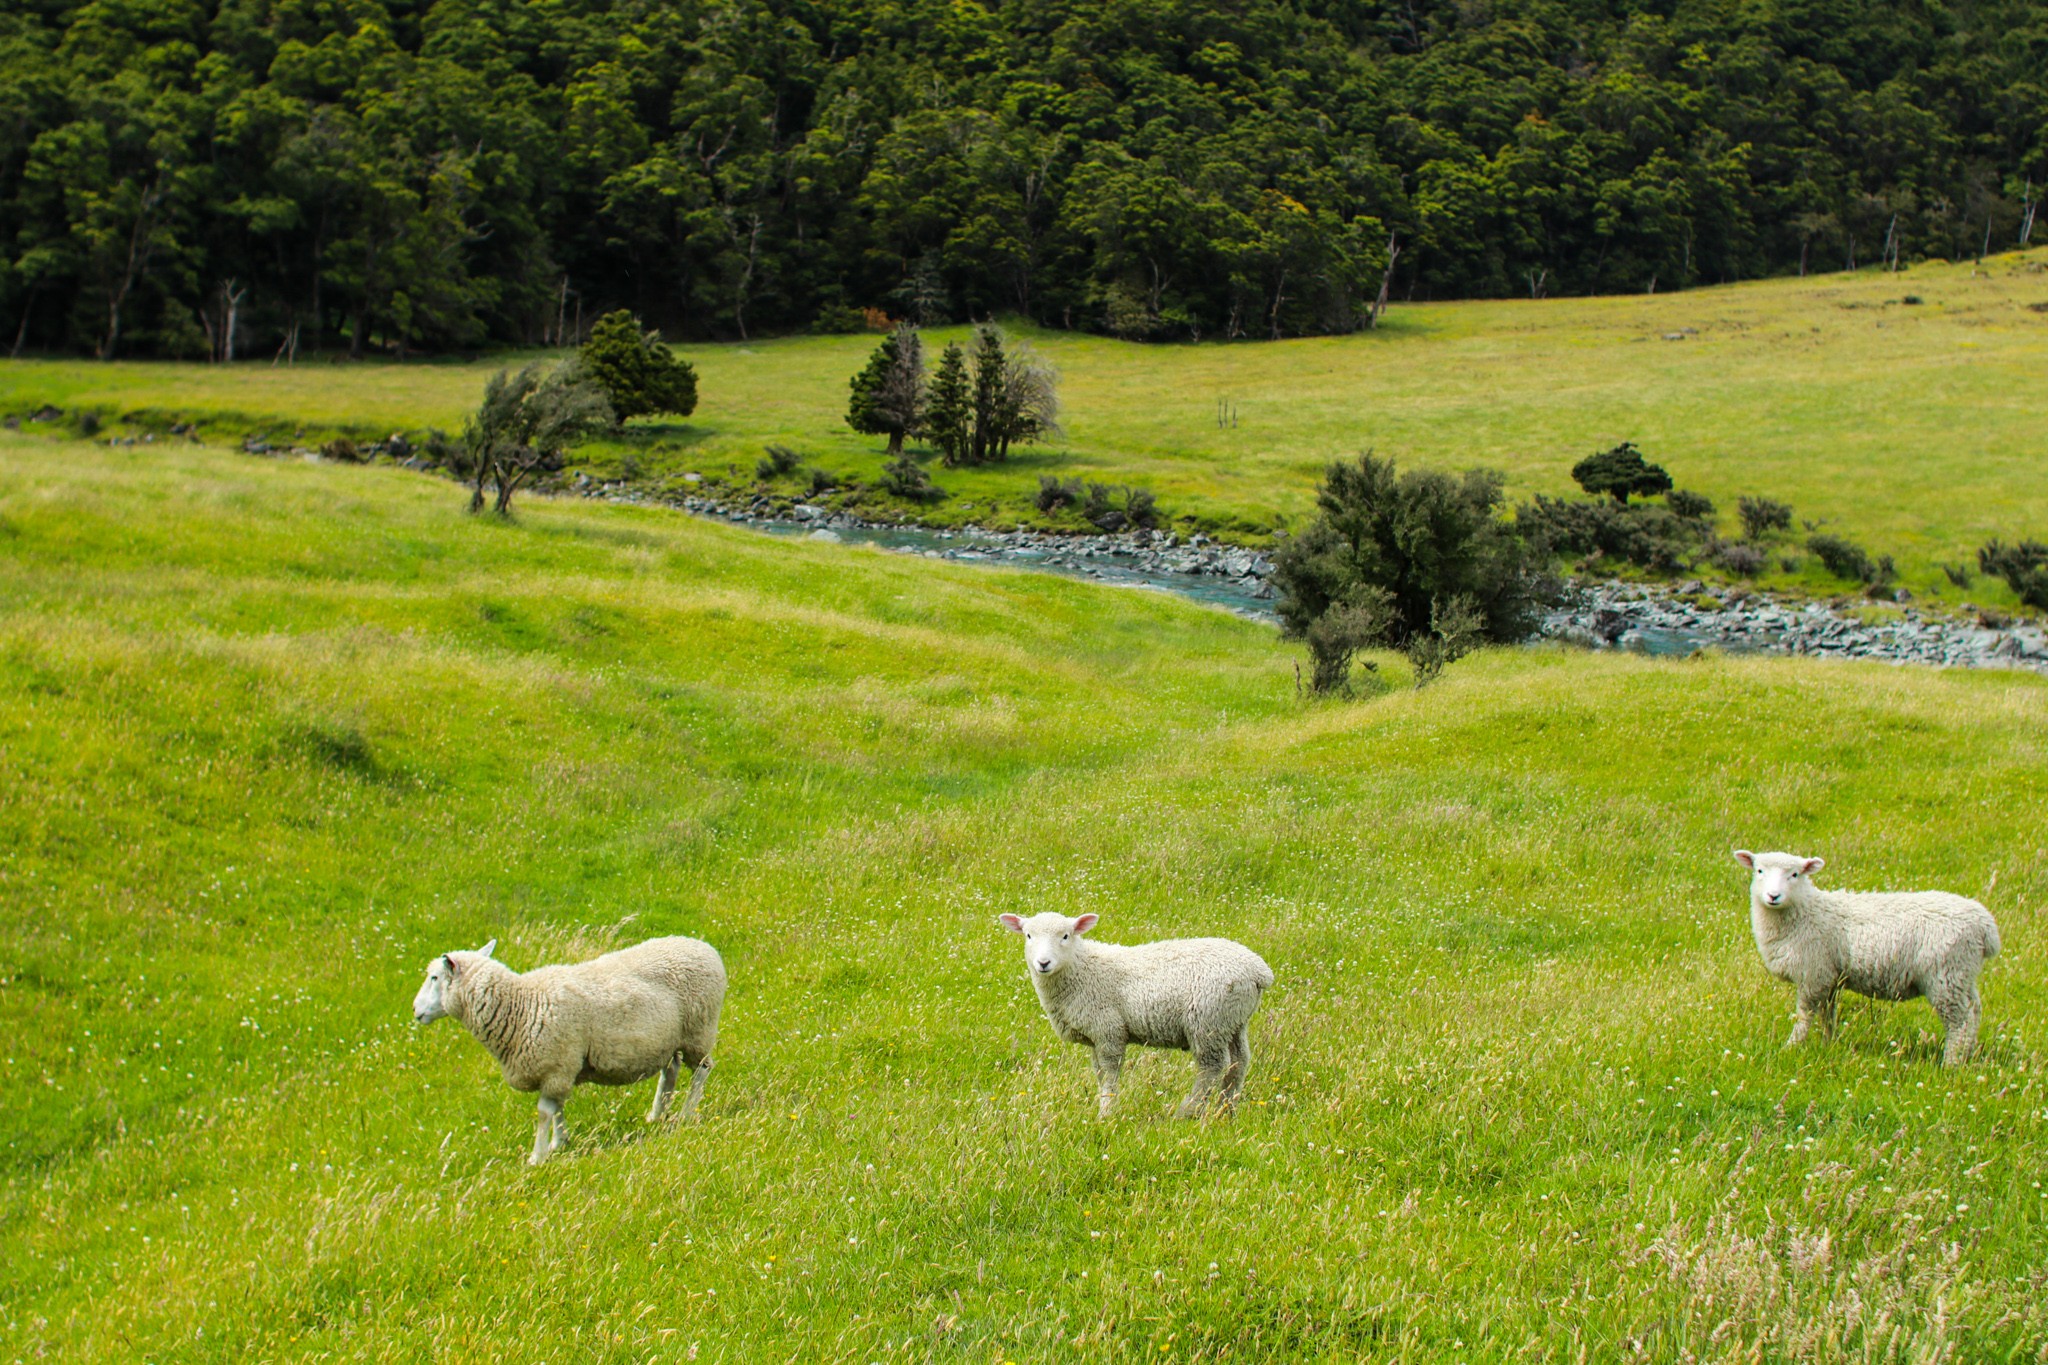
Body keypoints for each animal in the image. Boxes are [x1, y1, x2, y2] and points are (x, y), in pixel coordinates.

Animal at [409, 941, 729, 1162]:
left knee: (701, 1071)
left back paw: (686, 1113)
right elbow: (558, 1109)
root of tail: (706, 948)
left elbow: (544, 1112)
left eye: (435, 978)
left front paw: (537, 1157)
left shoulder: (556, 1064)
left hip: (698, 1029)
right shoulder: (559, 1068)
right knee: (670, 1072)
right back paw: (657, 1113)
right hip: (668, 1039)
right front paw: (558, 1143)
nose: (414, 1010)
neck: (521, 1005)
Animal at [999, 912, 1269, 1113]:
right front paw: (1104, 1104)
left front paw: (1106, 1112)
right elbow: (1099, 1072)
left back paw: (1188, 1112)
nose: (1043, 963)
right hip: (1233, 1020)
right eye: (1028, 935)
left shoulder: (1109, 1030)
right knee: (1239, 1061)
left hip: (1208, 1020)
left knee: (1211, 1067)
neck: (1082, 968)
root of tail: (1259, 970)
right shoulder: (1096, 1036)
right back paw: (1226, 1109)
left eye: (1066, 936)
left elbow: (1109, 1072)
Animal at [1728, 847, 1998, 1064]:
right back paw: (1967, 1054)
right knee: (1975, 1011)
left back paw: (1951, 1063)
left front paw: (1791, 1047)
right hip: (1962, 973)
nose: (1773, 896)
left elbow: (1805, 1016)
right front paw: (1829, 1044)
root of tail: (1986, 927)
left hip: (1945, 975)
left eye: (1794, 874)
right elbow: (1828, 1016)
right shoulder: (1830, 977)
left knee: (1959, 1022)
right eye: (1759, 870)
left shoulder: (1814, 974)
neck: (1806, 912)